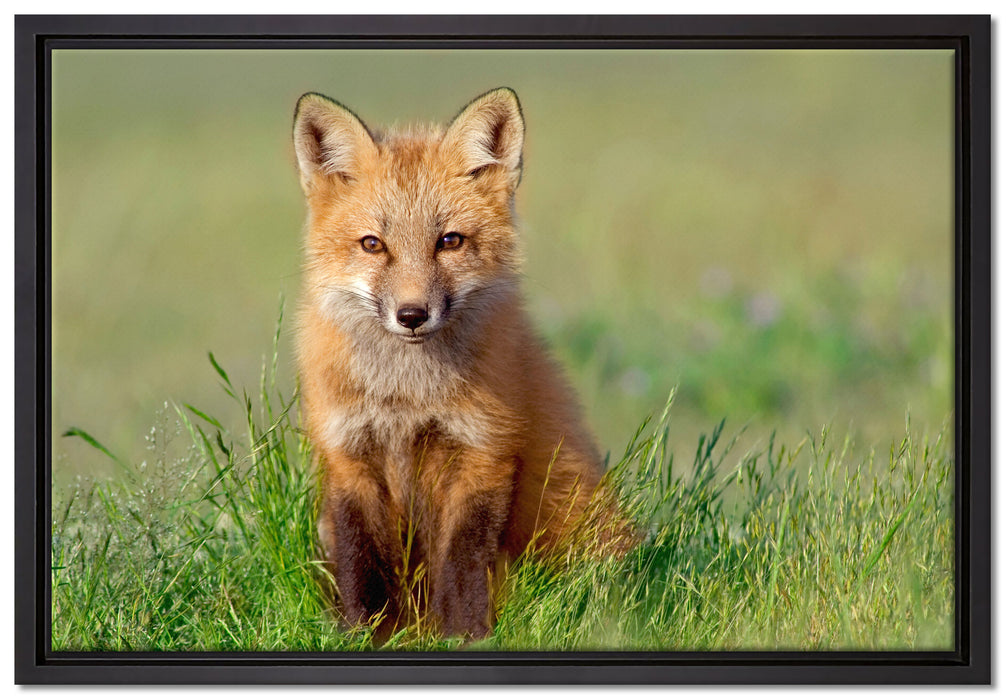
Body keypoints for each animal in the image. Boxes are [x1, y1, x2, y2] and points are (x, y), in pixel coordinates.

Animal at [293, 87, 630, 640]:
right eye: (372, 244)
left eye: (449, 241)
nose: (411, 315)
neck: (407, 398)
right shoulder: (348, 455)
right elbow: (360, 562)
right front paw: (364, 634)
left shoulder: (483, 451)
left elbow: (463, 561)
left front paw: (464, 635)